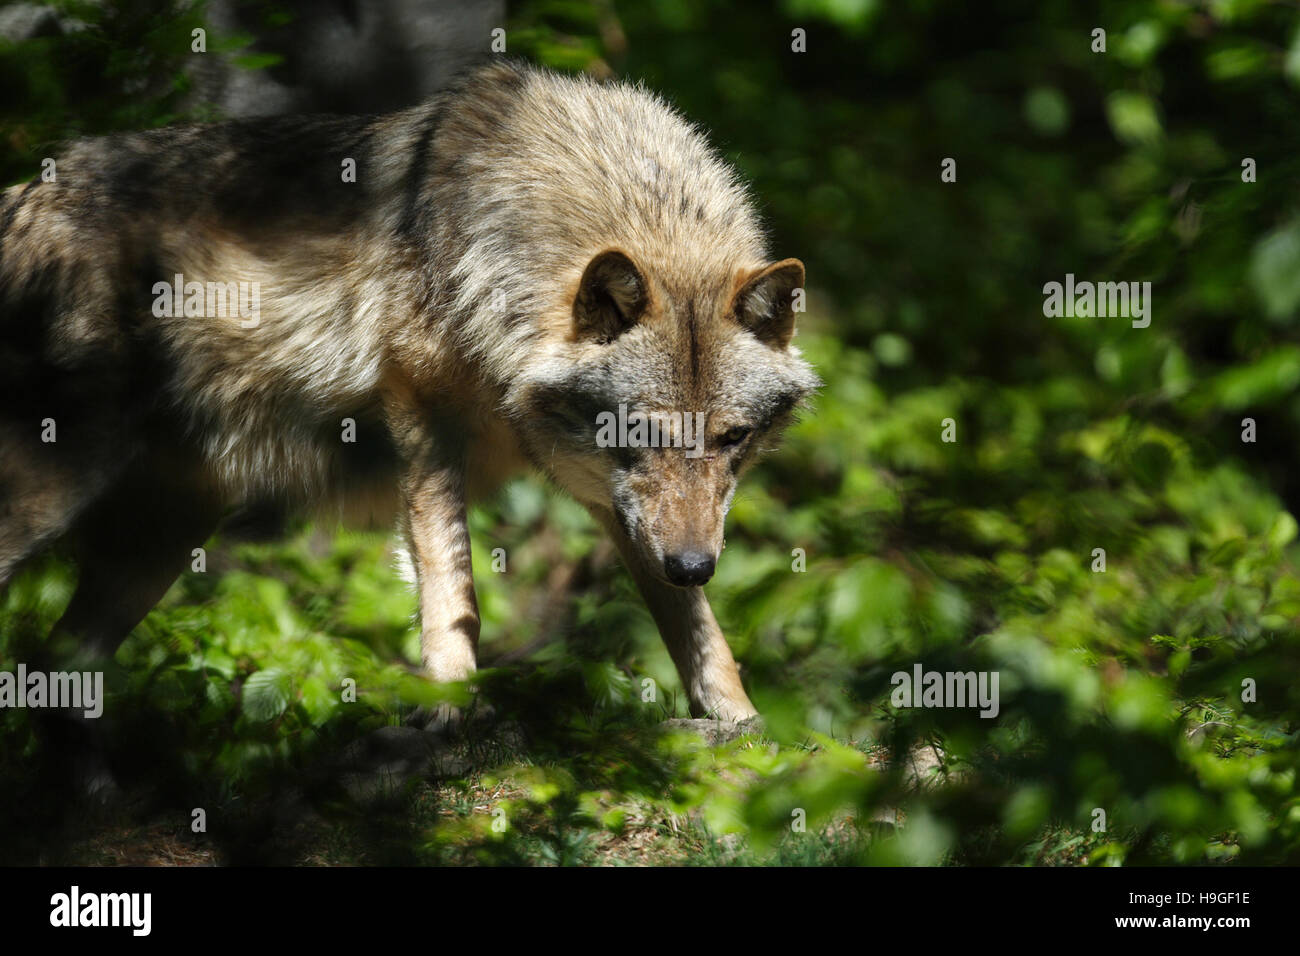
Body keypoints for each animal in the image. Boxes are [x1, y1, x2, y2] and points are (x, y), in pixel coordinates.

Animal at [0, 59, 818, 722]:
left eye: (733, 438)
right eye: (641, 432)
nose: (695, 563)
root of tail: (22, 197)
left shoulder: (610, 496)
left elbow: (696, 624)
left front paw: (741, 723)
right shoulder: (420, 411)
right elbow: (454, 585)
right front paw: (451, 701)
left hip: (163, 542)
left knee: (53, 673)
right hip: (56, 494)